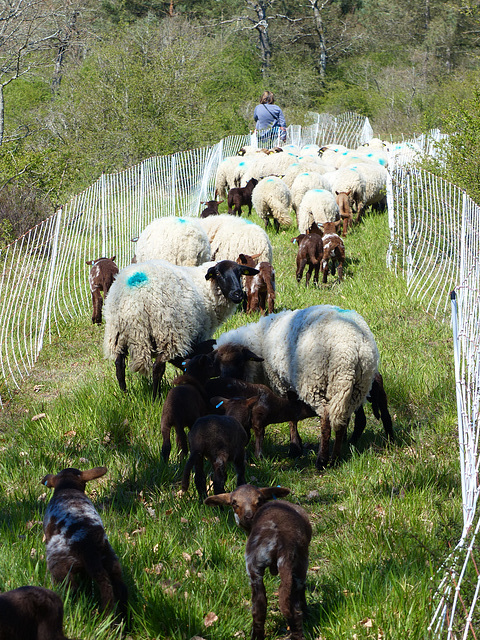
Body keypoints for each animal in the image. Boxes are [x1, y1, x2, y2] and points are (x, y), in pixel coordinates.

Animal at [41, 464, 127, 620]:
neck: (68, 488)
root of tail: (89, 546)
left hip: (60, 567)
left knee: (70, 591)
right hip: (111, 562)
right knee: (120, 590)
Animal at [102, 256, 258, 396]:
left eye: (240, 273)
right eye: (218, 273)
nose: (237, 294)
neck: (206, 289)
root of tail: (134, 298)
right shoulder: (198, 336)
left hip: (117, 334)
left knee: (119, 365)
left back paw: (125, 395)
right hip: (168, 333)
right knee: (157, 367)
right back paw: (155, 397)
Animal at [203, 484, 312, 640]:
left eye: (259, 500)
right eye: (234, 503)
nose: (248, 517)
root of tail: (278, 540)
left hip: (254, 564)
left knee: (259, 607)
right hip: (296, 562)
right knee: (295, 604)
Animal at [212, 304, 380, 470]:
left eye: (239, 362)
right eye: (218, 365)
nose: (225, 383)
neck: (261, 339)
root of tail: (353, 349)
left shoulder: (282, 384)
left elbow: (291, 416)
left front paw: (294, 448)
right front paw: (297, 445)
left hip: (315, 383)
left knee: (326, 421)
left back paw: (322, 461)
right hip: (354, 388)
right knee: (341, 421)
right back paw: (336, 459)